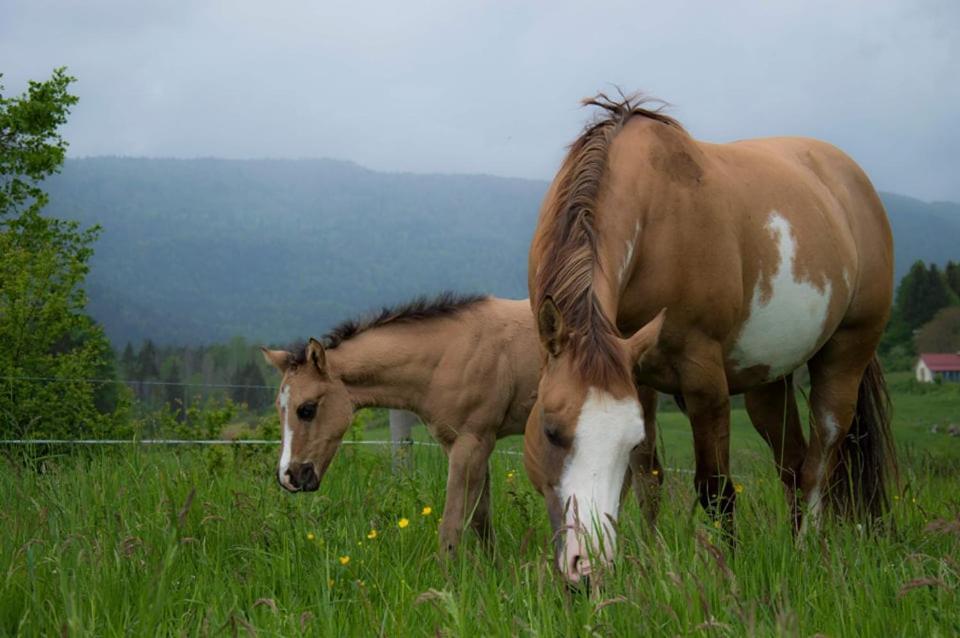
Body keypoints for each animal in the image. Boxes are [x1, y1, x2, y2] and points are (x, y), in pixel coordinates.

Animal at [520, 92, 896, 588]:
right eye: (550, 430)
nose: (588, 569)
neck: (655, 223)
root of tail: (852, 180)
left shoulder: (704, 383)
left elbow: (716, 490)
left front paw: (726, 568)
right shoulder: (639, 375)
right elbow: (648, 479)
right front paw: (651, 557)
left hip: (846, 354)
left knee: (820, 460)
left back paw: (804, 553)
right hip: (766, 382)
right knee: (793, 464)